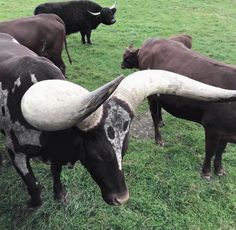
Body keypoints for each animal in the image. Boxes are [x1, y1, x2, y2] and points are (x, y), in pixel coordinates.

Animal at [1, 32, 236, 208]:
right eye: (96, 153)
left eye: (125, 148)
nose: (122, 198)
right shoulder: (15, 152)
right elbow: (35, 186)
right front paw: (33, 204)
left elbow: (55, 172)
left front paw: (59, 194)